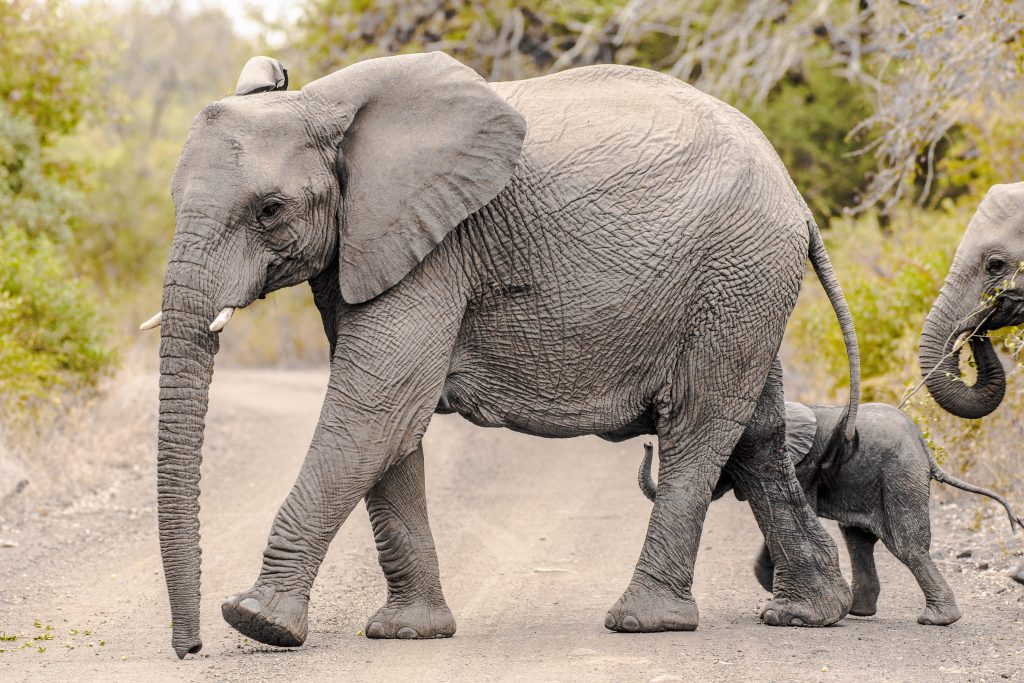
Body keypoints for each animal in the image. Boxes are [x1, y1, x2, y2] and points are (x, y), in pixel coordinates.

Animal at [142, 51, 862, 658]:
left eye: (269, 209)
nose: (191, 649)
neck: (322, 103)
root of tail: (796, 197)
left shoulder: (437, 245)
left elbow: (377, 407)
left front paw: (257, 621)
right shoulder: (369, 243)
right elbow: (391, 423)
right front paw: (408, 632)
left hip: (735, 273)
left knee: (697, 425)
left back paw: (645, 621)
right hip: (743, 288)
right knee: (758, 435)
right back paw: (806, 614)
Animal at [639, 402, 1023, 625]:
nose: (646, 443)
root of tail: (925, 448)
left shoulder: (803, 467)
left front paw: (773, 590)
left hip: (900, 474)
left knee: (907, 546)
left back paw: (936, 620)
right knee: (858, 539)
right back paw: (859, 611)